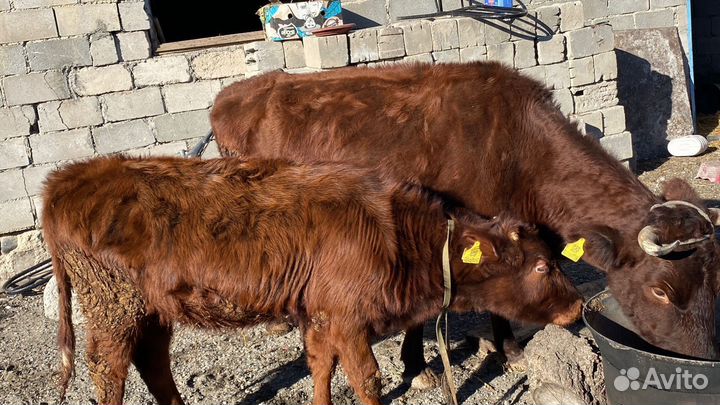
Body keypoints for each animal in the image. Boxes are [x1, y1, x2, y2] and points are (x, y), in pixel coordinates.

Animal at [43, 155, 582, 405]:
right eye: (542, 266)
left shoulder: (322, 315)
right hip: (113, 304)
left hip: (153, 308)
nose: (578, 307)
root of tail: (69, 177)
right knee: (109, 369)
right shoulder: (348, 317)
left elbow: (321, 365)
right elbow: (366, 378)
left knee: (152, 361)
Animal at [211, 61, 720, 365]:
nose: (702, 357)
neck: (517, 152)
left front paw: (506, 347)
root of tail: (236, 93)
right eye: (660, 291)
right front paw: (420, 367)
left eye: (713, 282)